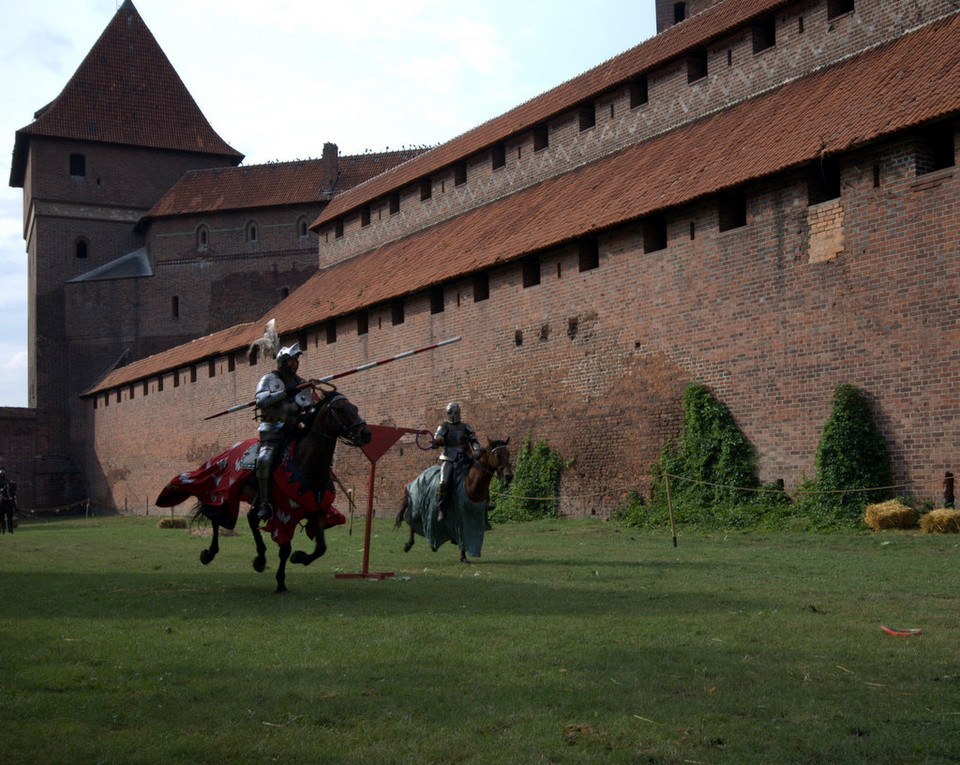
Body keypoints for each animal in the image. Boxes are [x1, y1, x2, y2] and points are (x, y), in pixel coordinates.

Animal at [156, 388, 370, 592]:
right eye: (341, 409)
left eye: (356, 408)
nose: (365, 434)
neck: (307, 463)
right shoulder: (284, 514)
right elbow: (285, 548)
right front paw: (281, 581)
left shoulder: (316, 510)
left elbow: (321, 548)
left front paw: (299, 558)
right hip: (224, 492)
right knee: (217, 517)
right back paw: (210, 553)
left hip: (257, 499)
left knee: (251, 518)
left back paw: (259, 558)